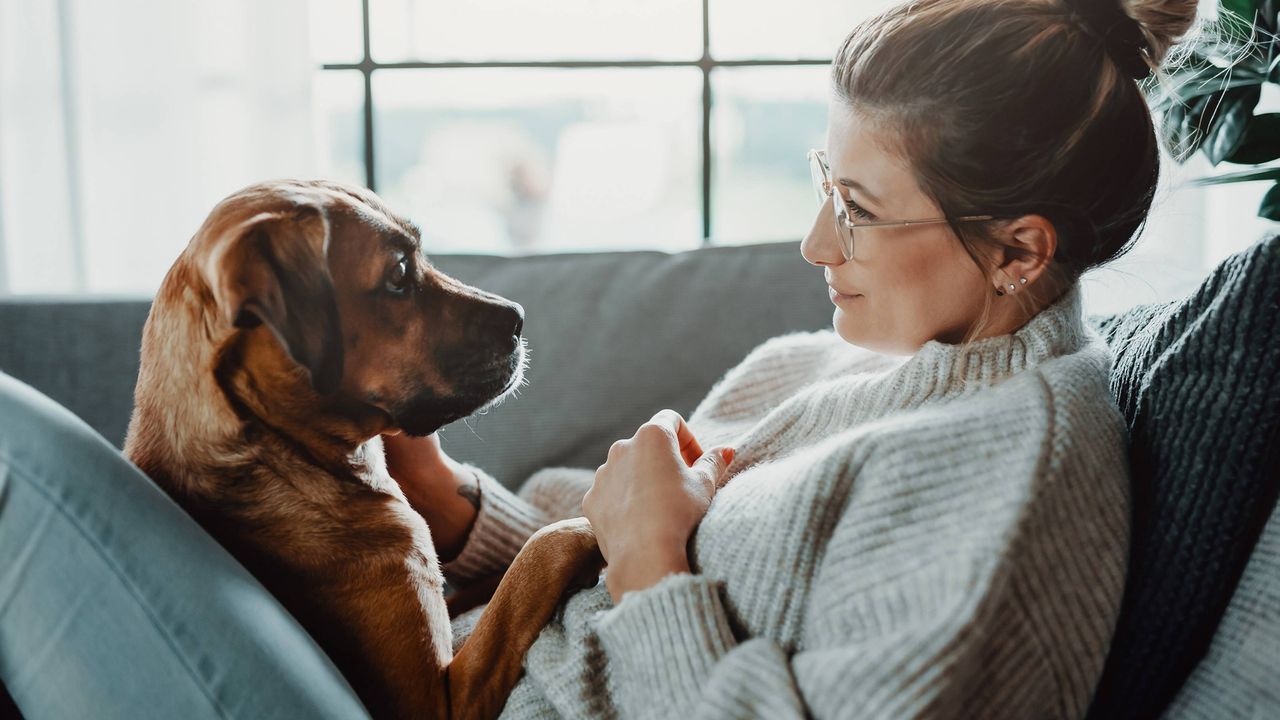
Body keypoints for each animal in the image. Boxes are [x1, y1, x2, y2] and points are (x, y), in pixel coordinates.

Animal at [122, 176, 601, 712]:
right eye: (398, 274)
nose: (519, 317)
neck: (282, 456)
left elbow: (496, 580)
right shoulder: (436, 701)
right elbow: (538, 556)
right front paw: (594, 520)